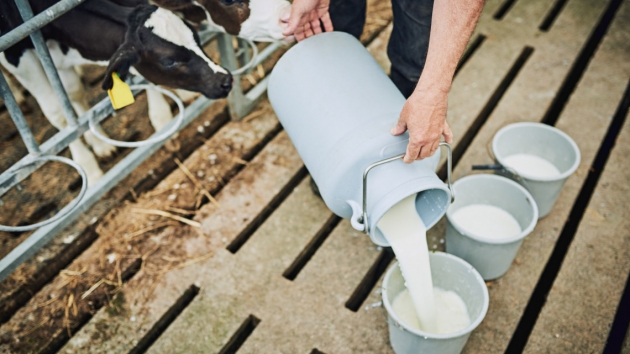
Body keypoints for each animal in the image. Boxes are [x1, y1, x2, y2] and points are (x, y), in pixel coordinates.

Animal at [0, 0, 233, 187]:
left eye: (196, 37)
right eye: (169, 61)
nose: (226, 80)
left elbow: (75, 93)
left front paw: (162, 121)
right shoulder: (18, 55)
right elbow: (58, 113)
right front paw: (90, 169)